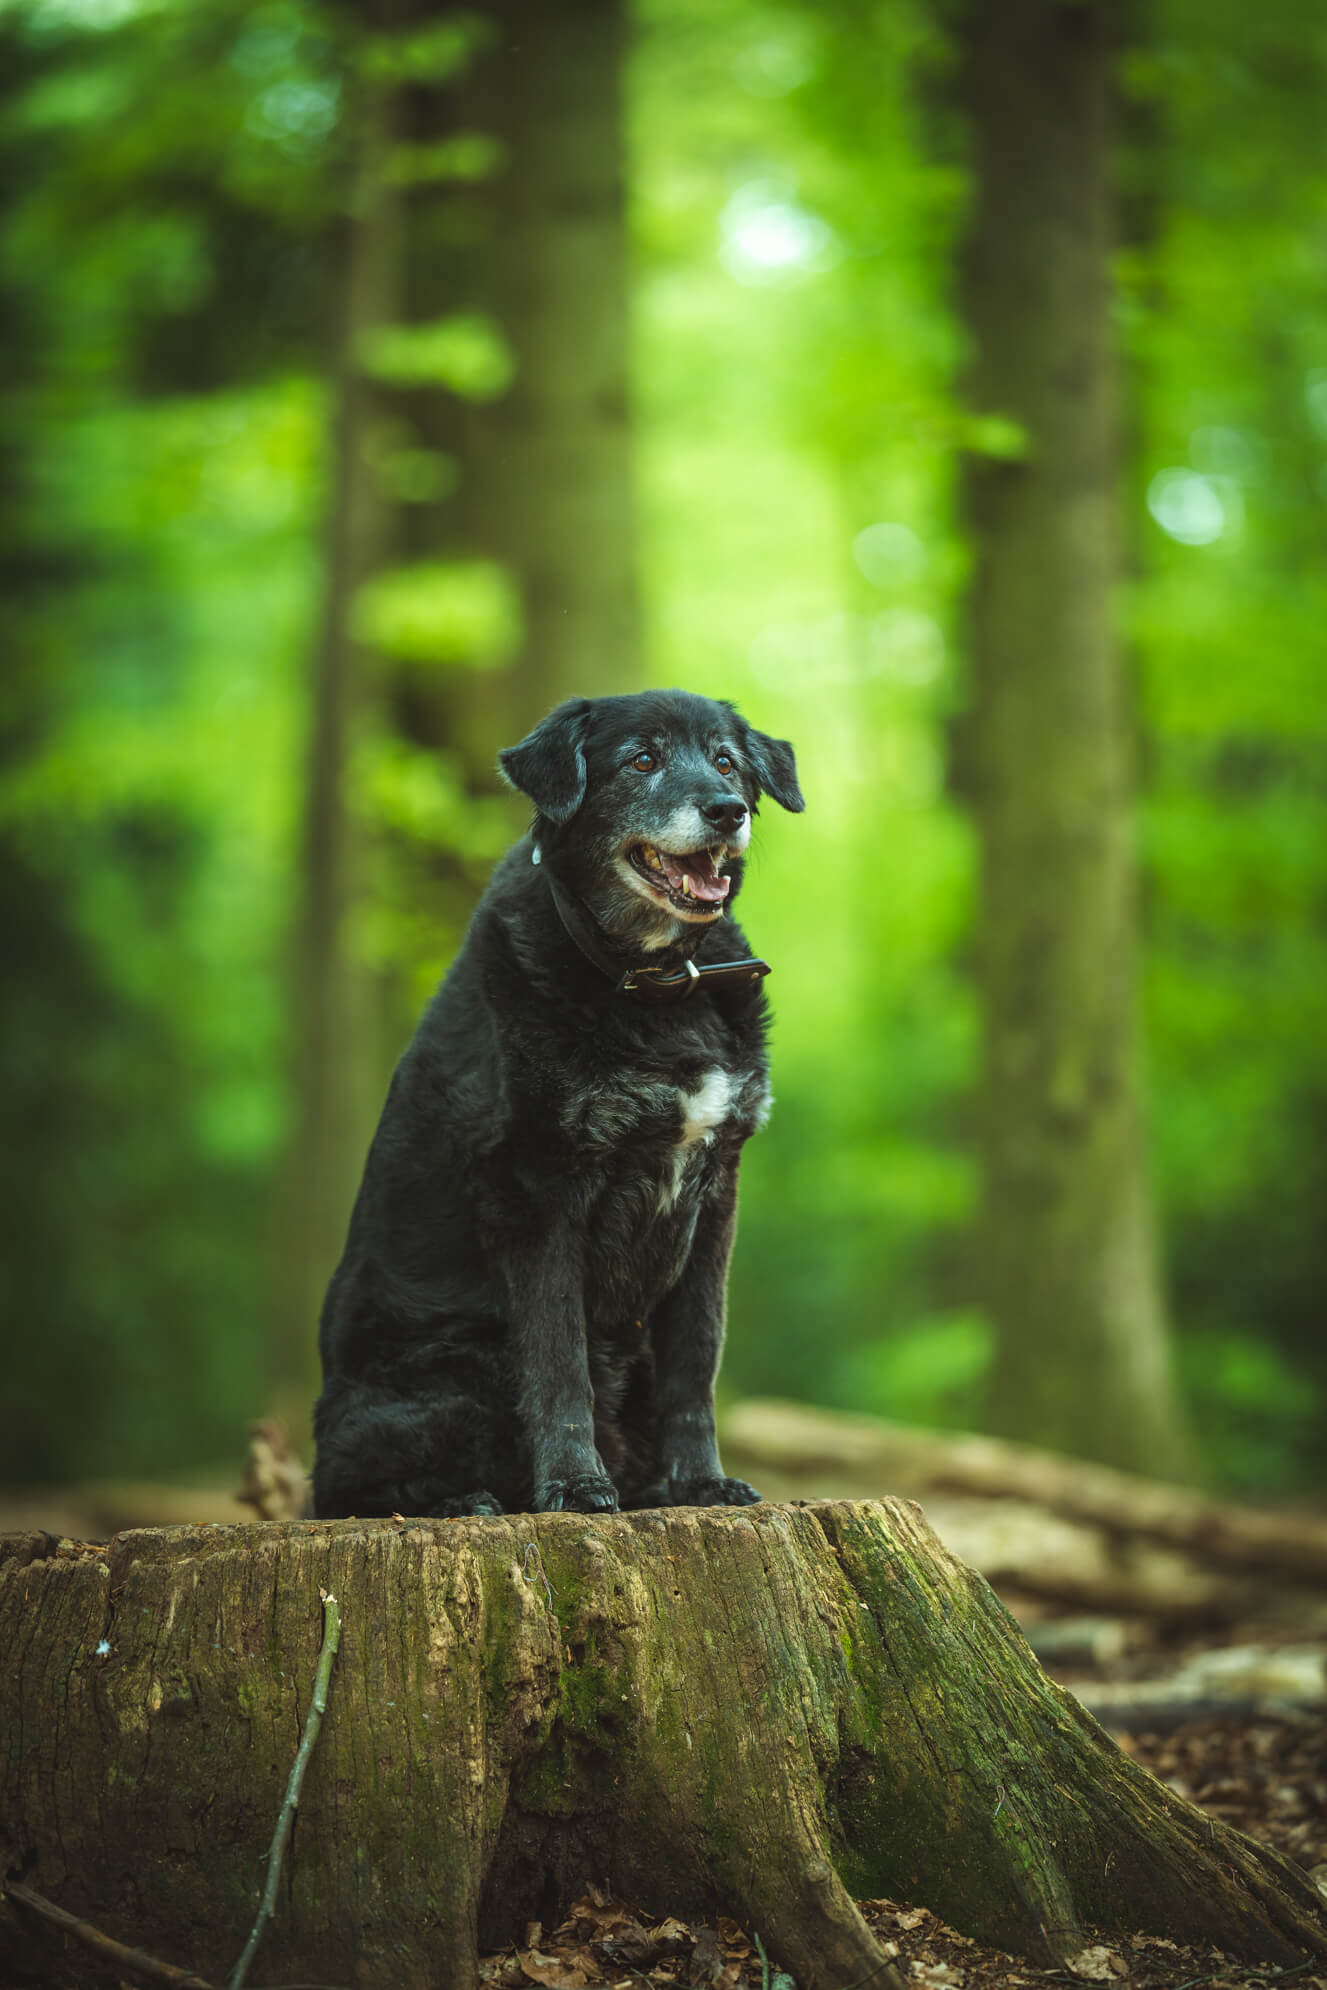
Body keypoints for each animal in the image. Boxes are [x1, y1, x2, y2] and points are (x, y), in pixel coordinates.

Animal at [316, 692, 803, 1512]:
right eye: (642, 760)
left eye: (727, 761)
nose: (726, 809)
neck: (656, 984)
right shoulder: (536, 1189)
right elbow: (557, 1360)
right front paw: (575, 1485)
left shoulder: (714, 1196)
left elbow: (695, 1360)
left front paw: (701, 1482)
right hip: (453, 1367)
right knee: (352, 1486)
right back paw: (462, 1501)